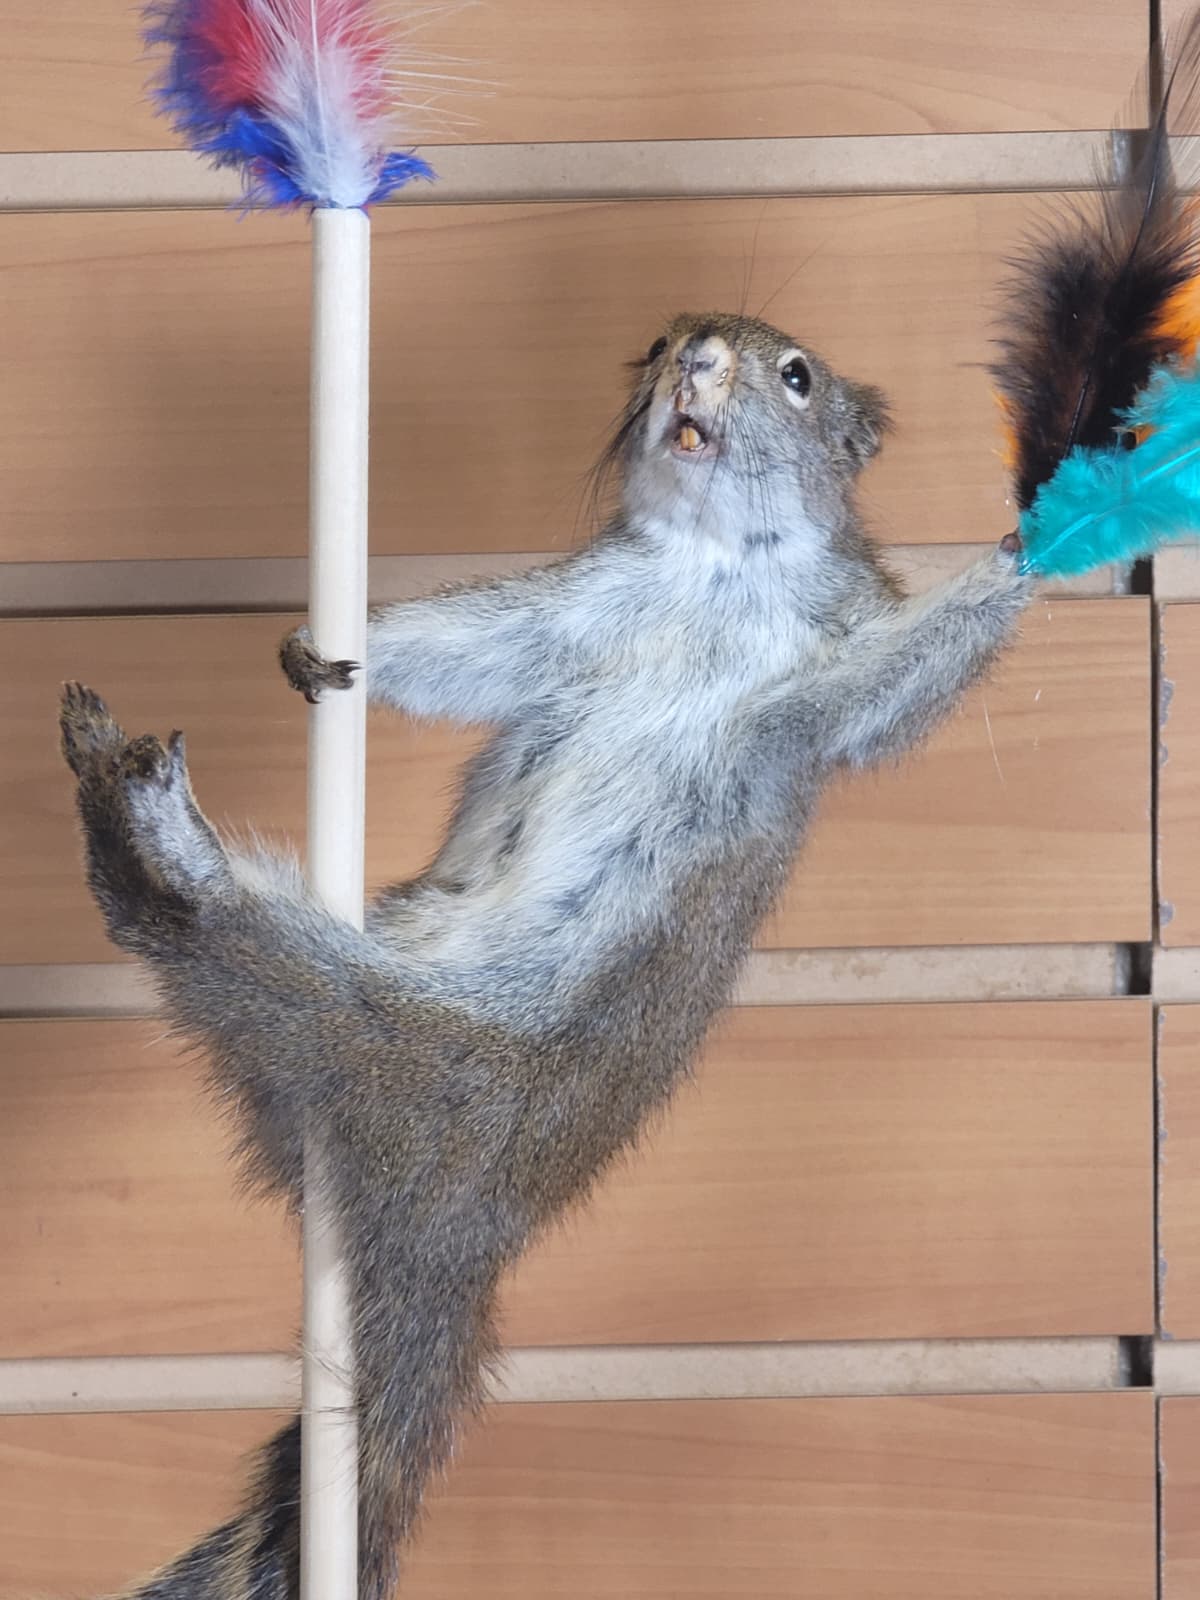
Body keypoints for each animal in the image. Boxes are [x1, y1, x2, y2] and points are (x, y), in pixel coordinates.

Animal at [58, 311, 1032, 1599]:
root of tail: (457, 1231)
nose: (696, 353)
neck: (709, 567)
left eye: (799, 376)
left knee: (209, 938)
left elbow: (894, 680)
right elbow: (471, 644)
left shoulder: (822, 672)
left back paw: (159, 839)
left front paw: (1025, 549)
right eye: (661, 337)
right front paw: (325, 649)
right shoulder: (572, 608)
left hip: (405, 1056)